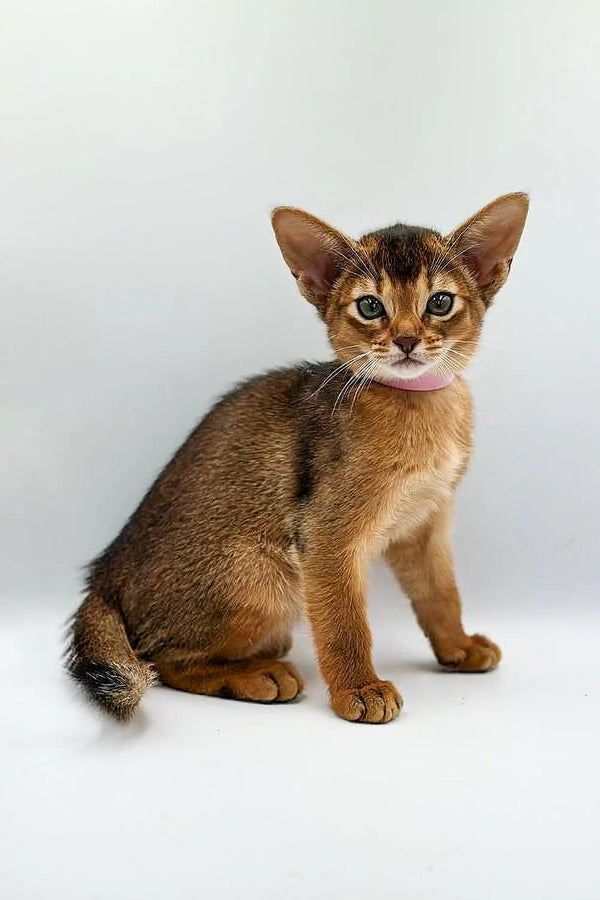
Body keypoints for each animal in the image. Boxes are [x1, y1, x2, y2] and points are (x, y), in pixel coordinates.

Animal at [65, 192, 528, 724]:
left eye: (440, 302)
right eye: (370, 306)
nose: (407, 340)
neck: (419, 407)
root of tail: (105, 575)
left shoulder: (424, 525)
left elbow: (441, 594)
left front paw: (457, 647)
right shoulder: (326, 535)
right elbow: (345, 624)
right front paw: (359, 689)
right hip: (265, 577)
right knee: (162, 660)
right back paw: (255, 674)